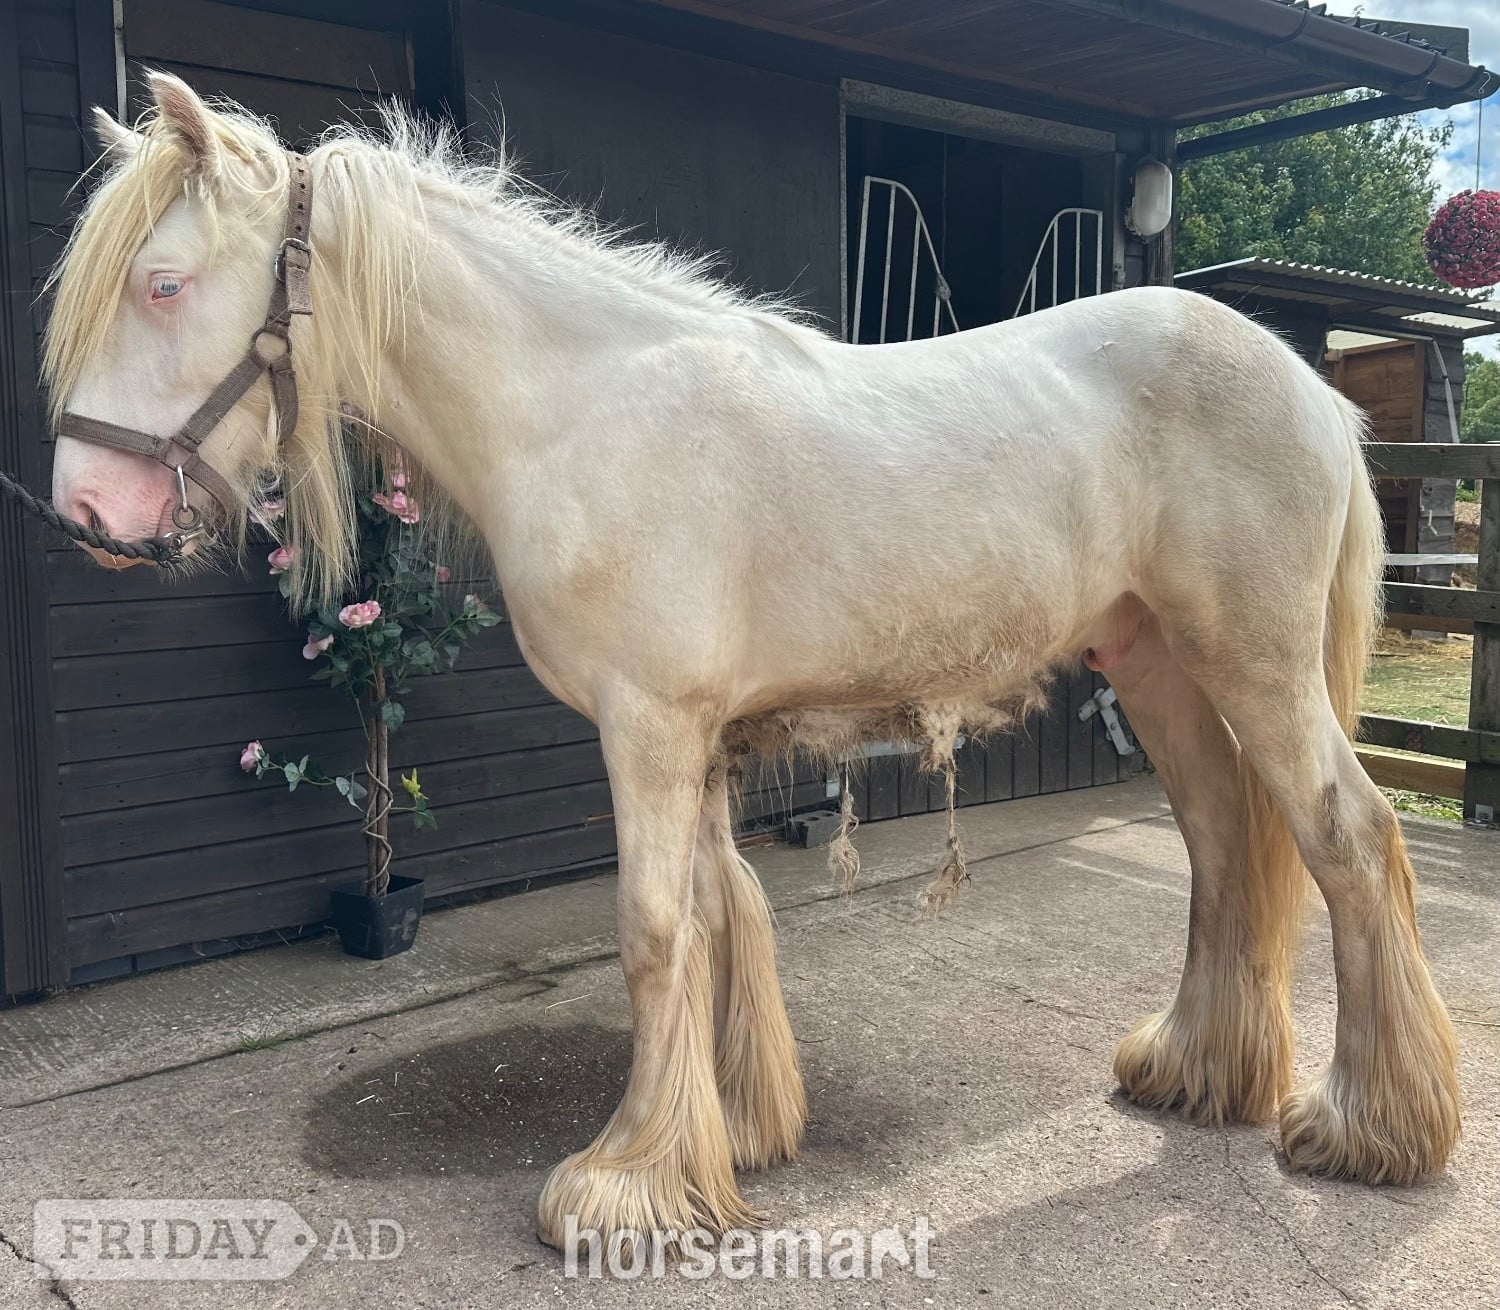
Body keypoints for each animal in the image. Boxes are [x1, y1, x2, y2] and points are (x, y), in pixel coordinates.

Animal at [44, 73, 1460, 1251]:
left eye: (161, 283)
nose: (88, 511)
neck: (584, 410)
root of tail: (1311, 390)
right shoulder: (697, 735)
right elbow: (725, 911)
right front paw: (727, 1133)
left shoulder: (649, 727)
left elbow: (655, 928)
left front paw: (620, 1179)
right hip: (1158, 661)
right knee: (1223, 837)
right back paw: (1193, 1068)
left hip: (1254, 666)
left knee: (1347, 836)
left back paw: (1369, 1125)